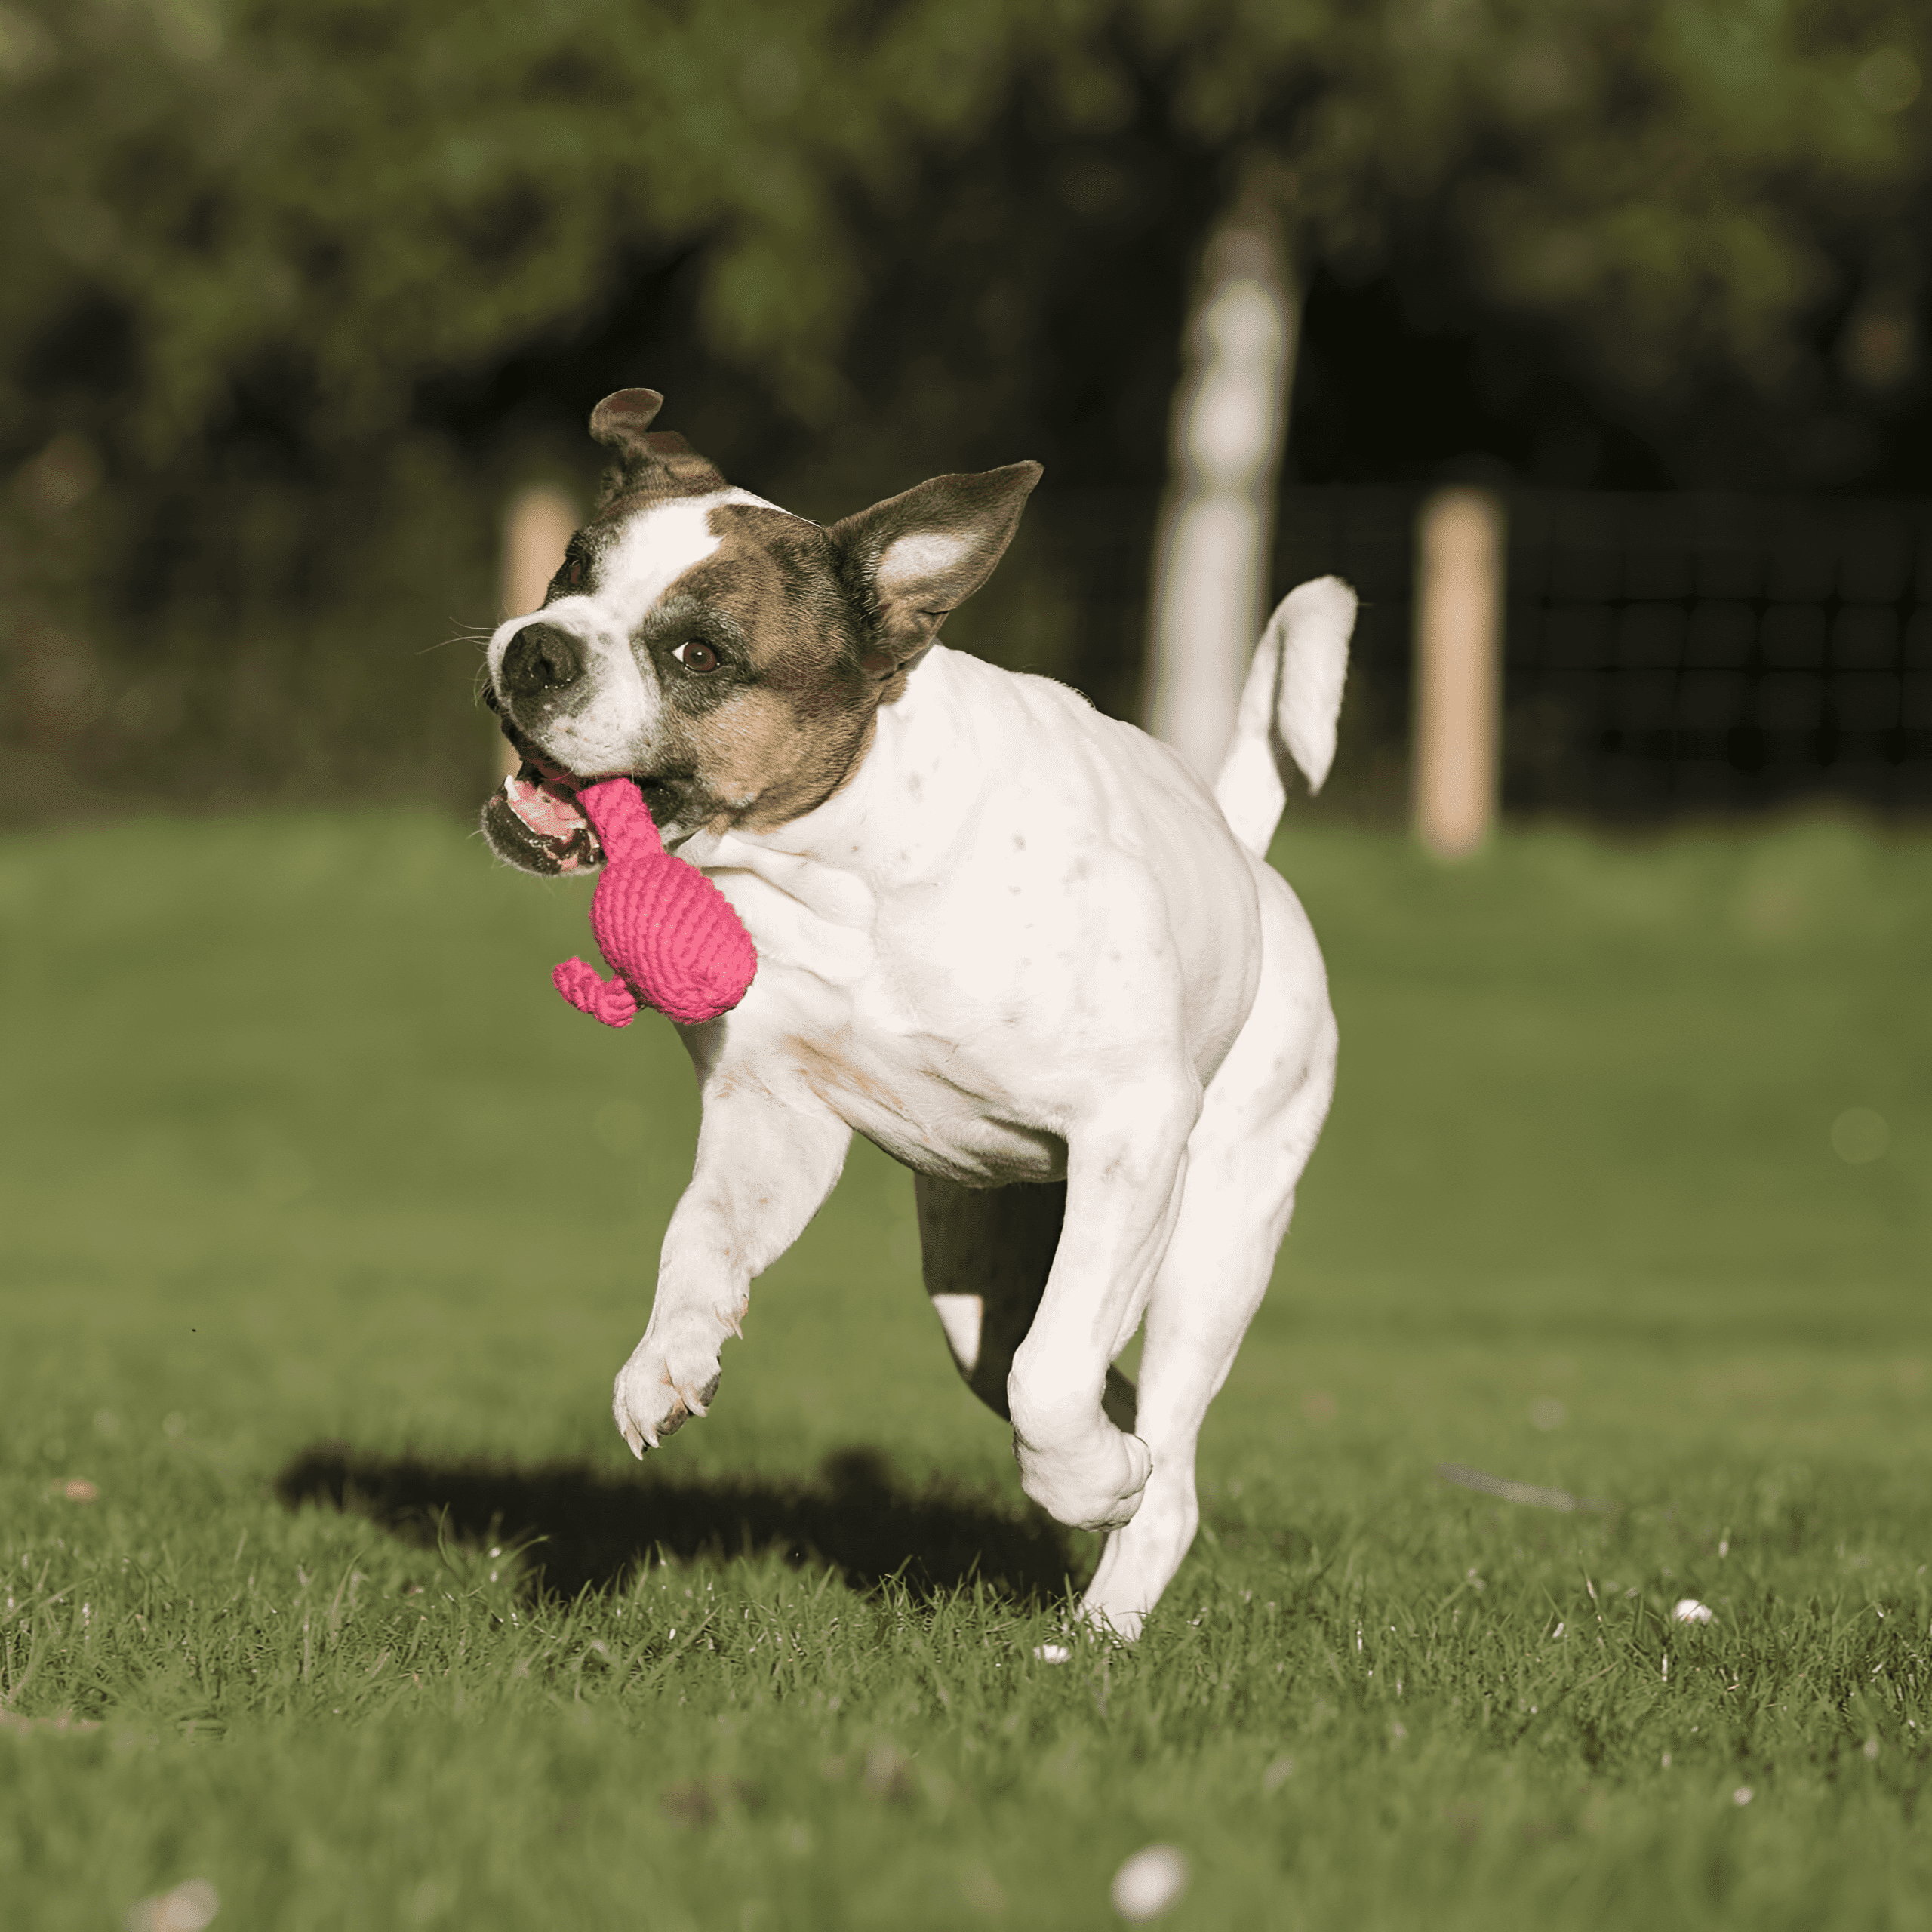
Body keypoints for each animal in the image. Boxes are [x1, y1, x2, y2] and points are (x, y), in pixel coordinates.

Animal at [483, 392, 1360, 1646]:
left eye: (699, 652)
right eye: (571, 569)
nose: (536, 648)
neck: (843, 866)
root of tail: (1242, 853)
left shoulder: (1135, 1133)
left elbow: (1056, 1380)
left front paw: (1096, 1482)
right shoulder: (773, 1119)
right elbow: (700, 1238)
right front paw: (668, 1361)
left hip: (1215, 1237)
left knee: (1157, 1442)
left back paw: (1106, 1603)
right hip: (975, 1277)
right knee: (1065, 1375)